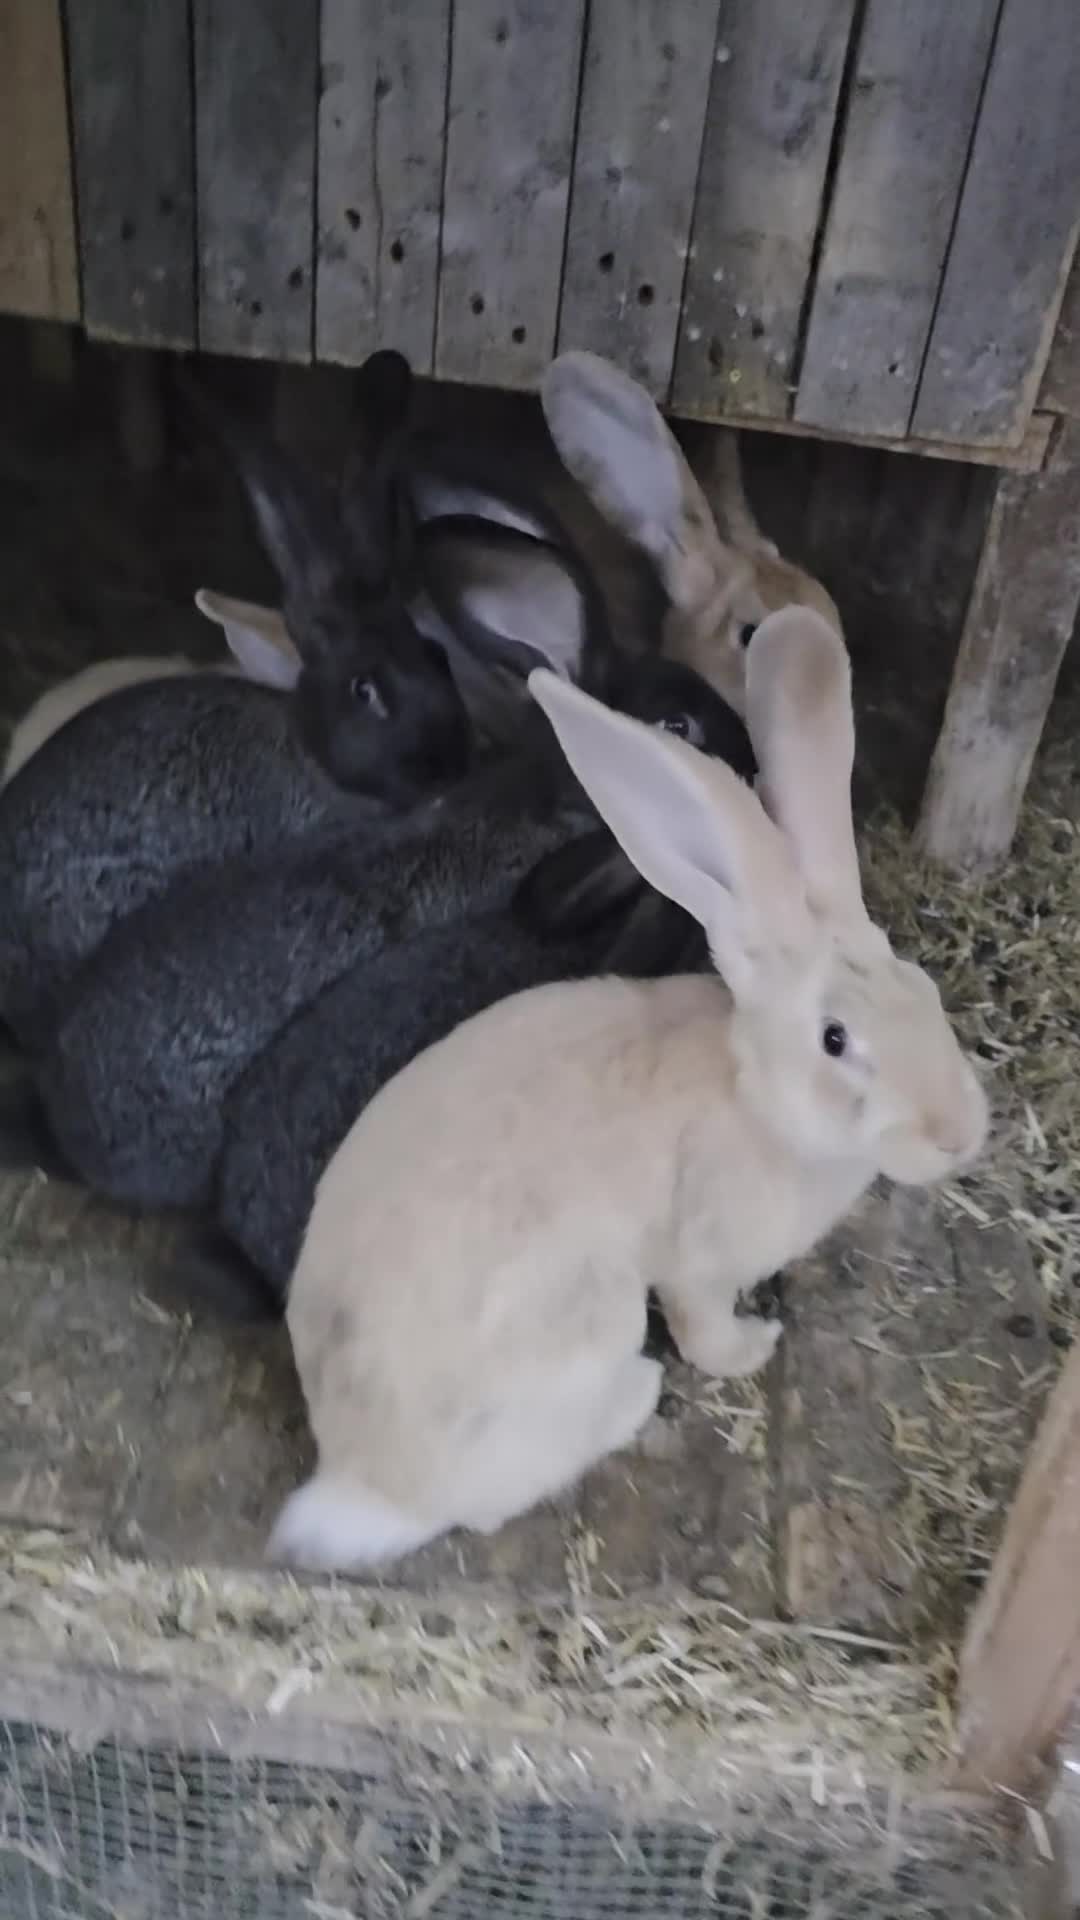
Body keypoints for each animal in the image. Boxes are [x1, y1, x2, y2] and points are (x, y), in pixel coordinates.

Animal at [268, 607, 988, 1574]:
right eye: (836, 1040)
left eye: (925, 989)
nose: (959, 1133)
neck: (755, 1096)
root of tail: (365, 1484)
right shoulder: (701, 1262)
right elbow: (705, 1327)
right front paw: (753, 1347)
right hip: (589, 1322)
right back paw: (638, 1394)